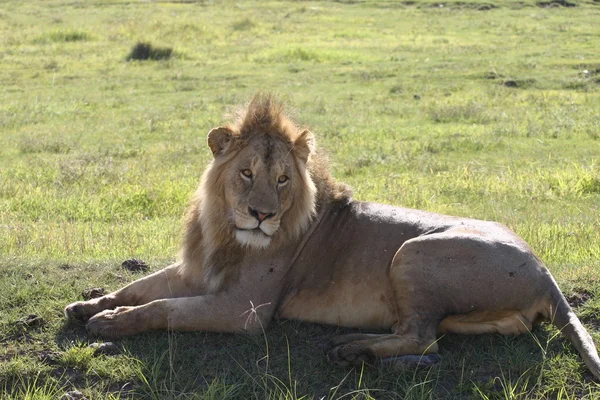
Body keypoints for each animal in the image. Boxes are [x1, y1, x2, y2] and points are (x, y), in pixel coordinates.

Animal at [65, 94, 600, 378]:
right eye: (246, 173)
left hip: (412, 252)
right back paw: (353, 344)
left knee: (424, 342)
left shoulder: (243, 311)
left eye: (283, 179)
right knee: (427, 335)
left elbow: (163, 308)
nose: (261, 215)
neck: (225, 230)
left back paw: (349, 350)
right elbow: (142, 285)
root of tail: (546, 271)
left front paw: (110, 323)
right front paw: (88, 305)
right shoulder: (197, 270)